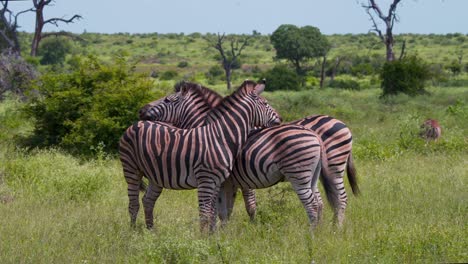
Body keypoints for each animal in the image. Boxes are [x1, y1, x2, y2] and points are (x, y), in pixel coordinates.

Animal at [120, 80, 282, 231]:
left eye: (167, 100)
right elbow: (218, 211)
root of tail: (134, 125)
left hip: (155, 175)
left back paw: (149, 231)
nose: (141, 111)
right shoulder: (218, 182)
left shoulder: (222, 182)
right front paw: (215, 233)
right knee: (137, 203)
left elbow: (219, 211)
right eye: (265, 103)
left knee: (146, 201)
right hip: (137, 170)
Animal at [139, 82, 354, 225]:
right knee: (324, 201)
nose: (141, 110)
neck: (214, 130)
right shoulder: (233, 181)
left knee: (340, 199)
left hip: (331, 169)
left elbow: (237, 207)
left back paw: (335, 229)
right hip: (317, 173)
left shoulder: (232, 180)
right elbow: (227, 210)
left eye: (167, 99)